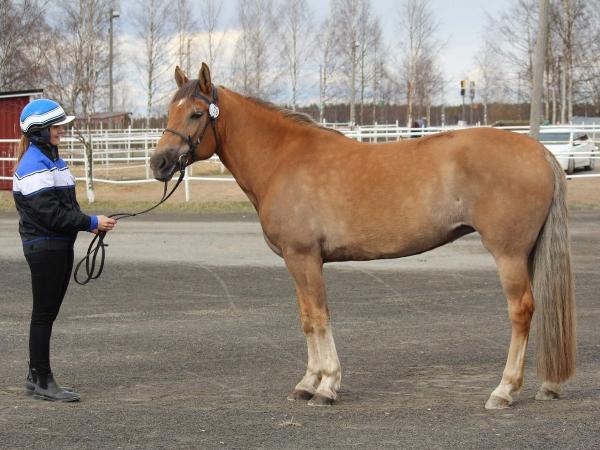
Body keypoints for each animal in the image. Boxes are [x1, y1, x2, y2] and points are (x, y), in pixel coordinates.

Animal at [150, 63, 576, 409]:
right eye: (170, 110)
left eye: (196, 113)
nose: (159, 163)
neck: (283, 160)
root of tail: (539, 151)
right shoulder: (296, 261)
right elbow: (306, 319)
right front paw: (307, 383)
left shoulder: (304, 257)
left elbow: (319, 317)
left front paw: (326, 386)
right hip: (527, 253)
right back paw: (549, 386)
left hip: (508, 254)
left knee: (521, 310)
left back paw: (504, 391)